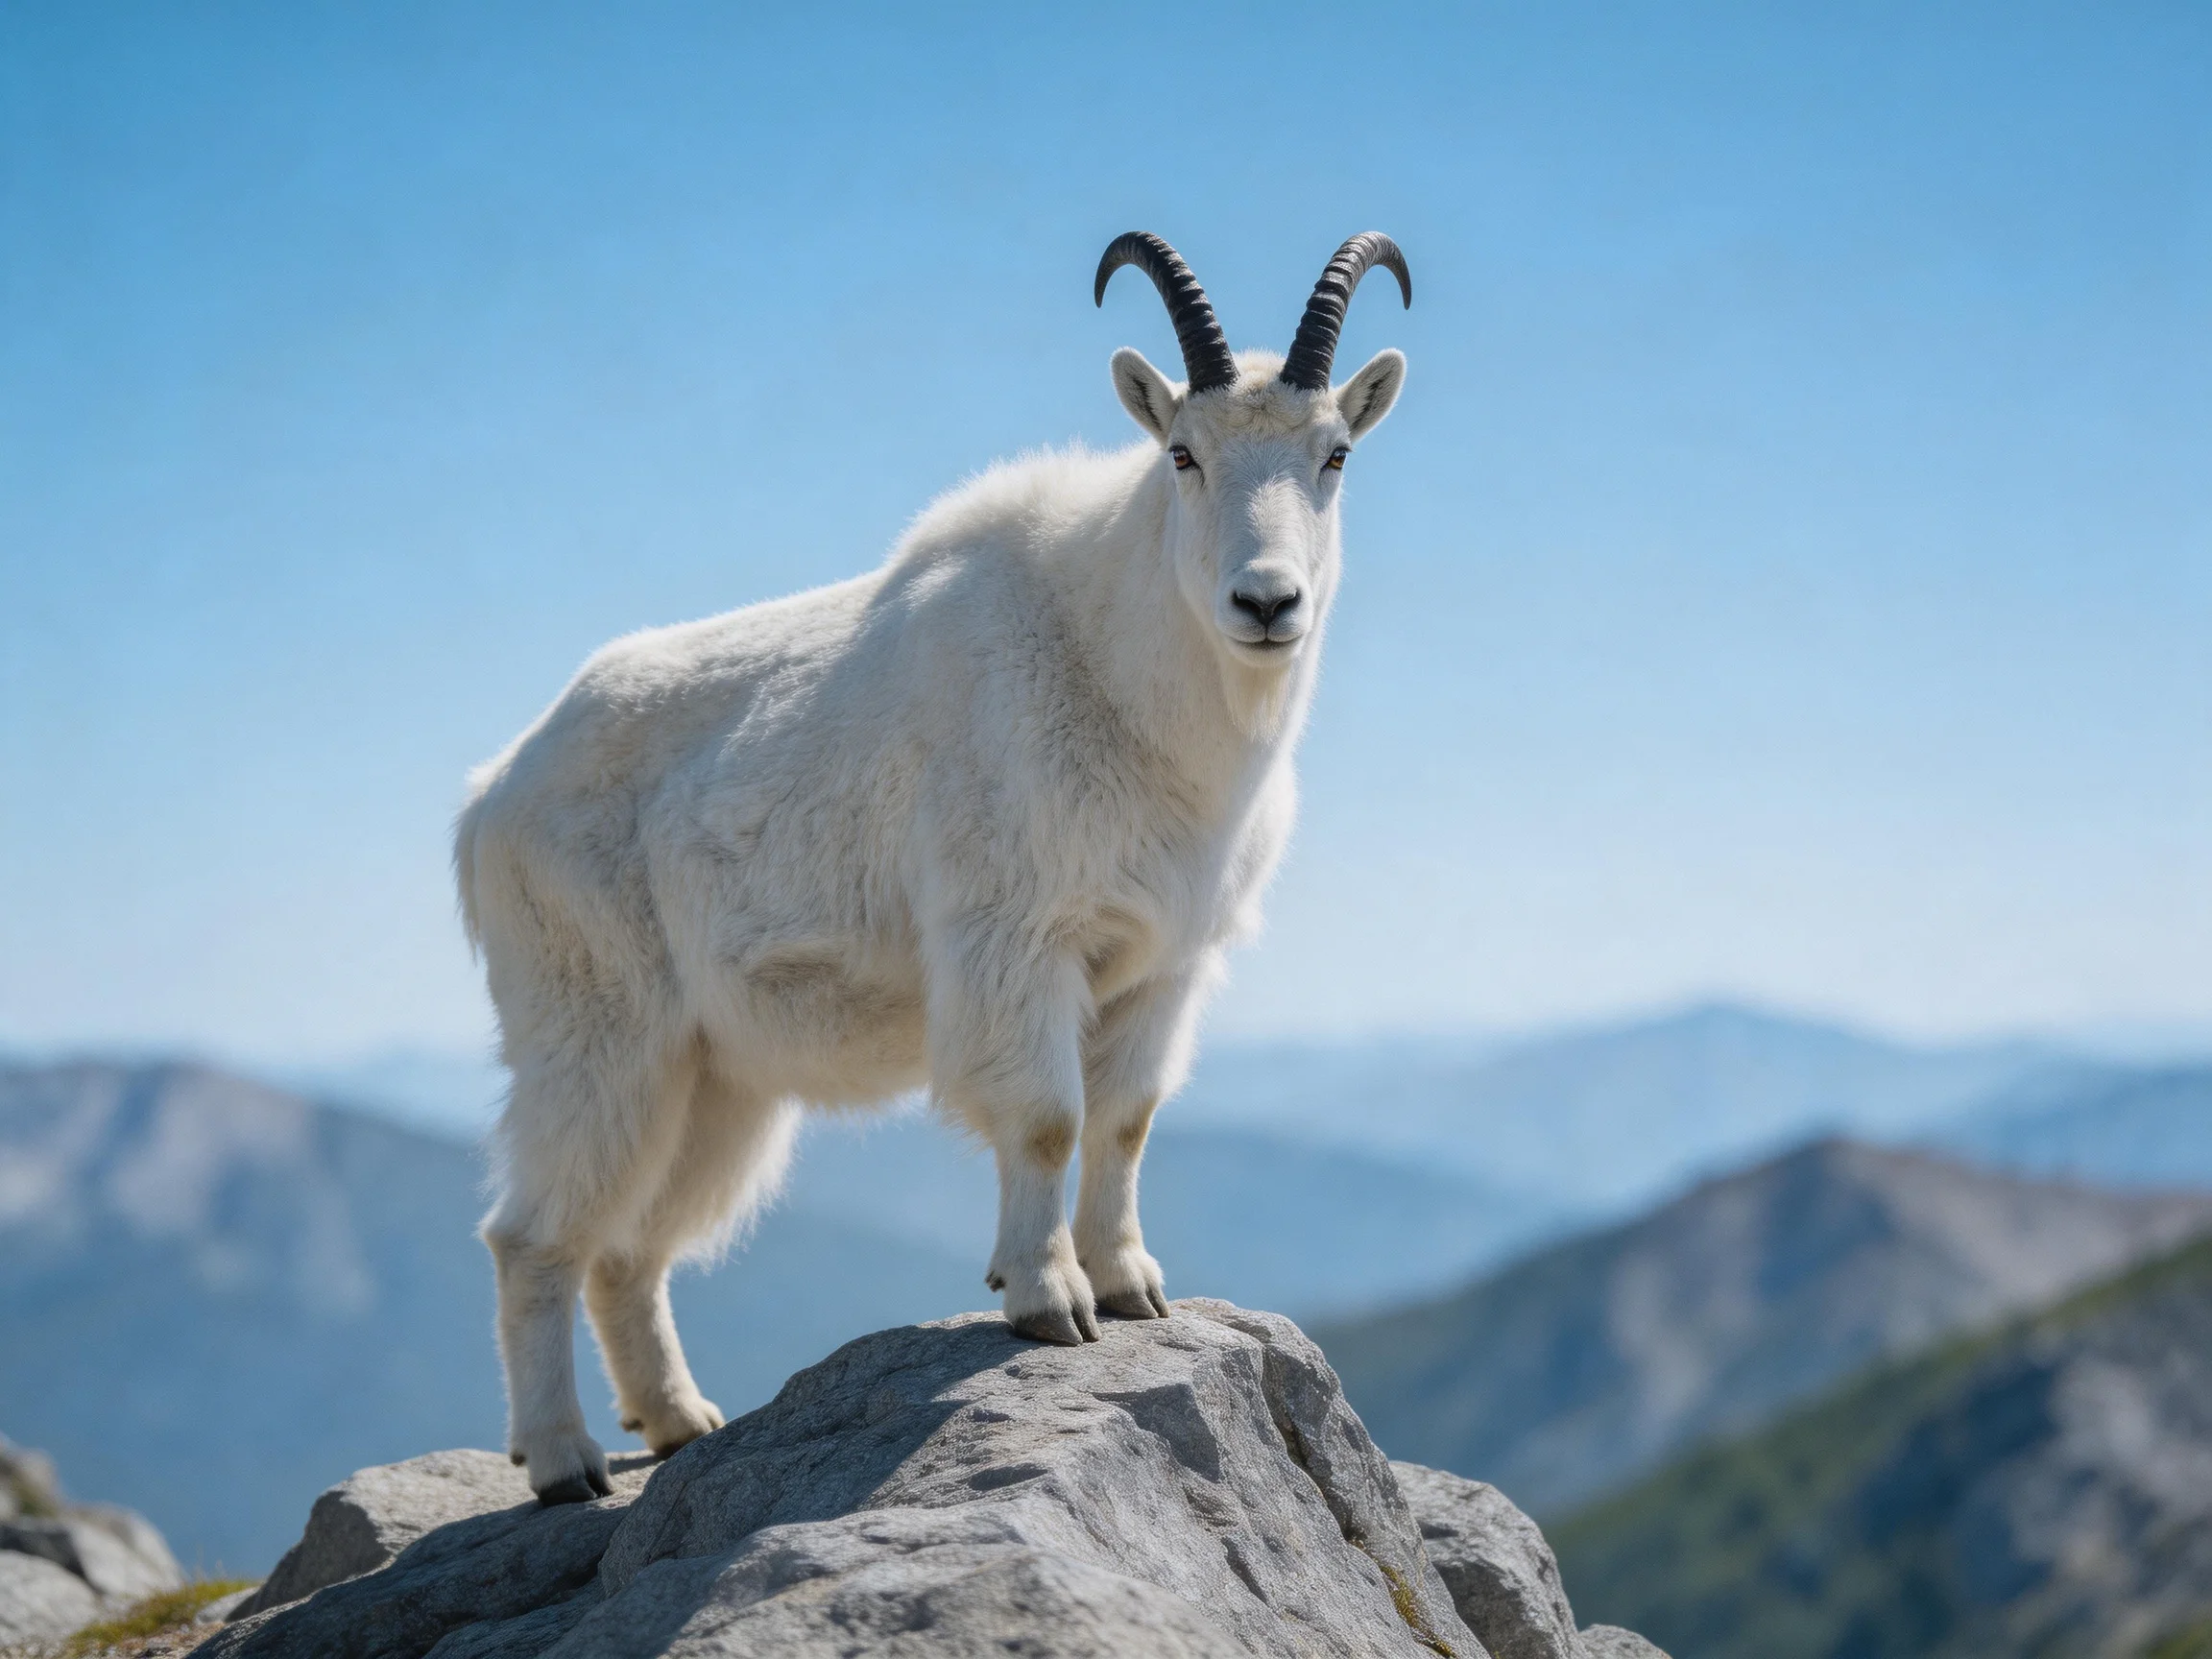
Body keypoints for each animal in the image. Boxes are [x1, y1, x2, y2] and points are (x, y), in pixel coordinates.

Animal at [456, 232, 1412, 1501]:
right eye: (1183, 453)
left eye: (1334, 454)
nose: (1266, 604)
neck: (1123, 672)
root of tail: (491, 795)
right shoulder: (1015, 938)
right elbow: (1049, 1117)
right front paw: (1048, 1302)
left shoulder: (1163, 964)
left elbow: (1127, 1119)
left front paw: (1132, 1288)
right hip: (593, 1023)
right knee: (533, 1234)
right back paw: (564, 1462)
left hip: (713, 1075)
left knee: (631, 1246)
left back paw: (679, 1424)